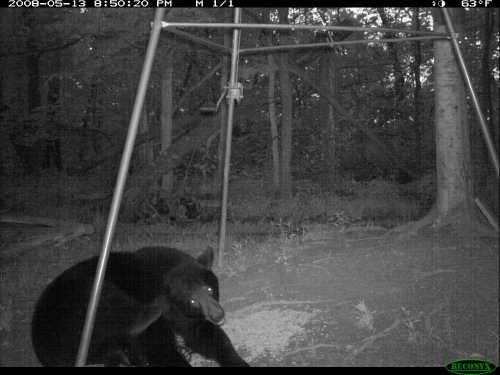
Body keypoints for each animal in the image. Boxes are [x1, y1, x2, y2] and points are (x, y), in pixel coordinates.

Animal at [30, 247, 248, 368]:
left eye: (210, 289)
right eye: (192, 301)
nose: (218, 315)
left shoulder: (187, 317)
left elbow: (206, 335)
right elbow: (155, 345)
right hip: (85, 300)